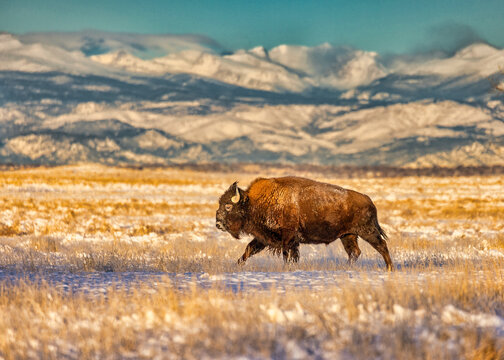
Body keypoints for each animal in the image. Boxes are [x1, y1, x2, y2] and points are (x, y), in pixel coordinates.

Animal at [215, 176, 396, 272]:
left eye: (228, 206)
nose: (218, 224)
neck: (254, 202)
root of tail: (368, 200)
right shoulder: (263, 238)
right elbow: (248, 250)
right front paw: (237, 265)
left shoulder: (288, 238)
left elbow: (287, 254)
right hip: (347, 235)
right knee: (354, 252)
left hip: (367, 231)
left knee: (381, 246)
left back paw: (389, 268)